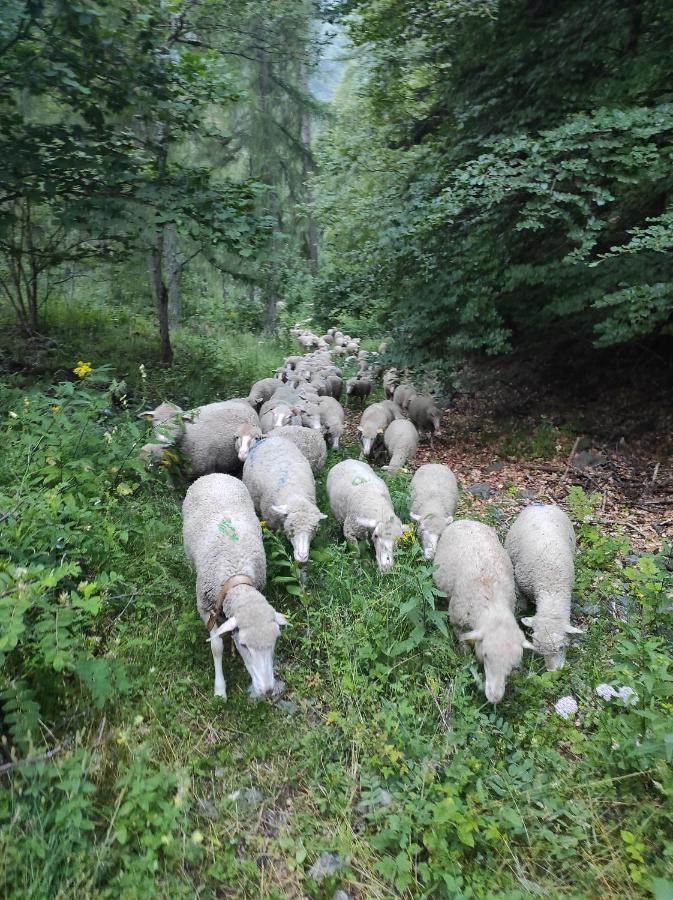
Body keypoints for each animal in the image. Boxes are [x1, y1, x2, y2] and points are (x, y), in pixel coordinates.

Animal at [181, 474, 288, 700]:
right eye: (245, 645)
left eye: (276, 640)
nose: (267, 691)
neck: (236, 579)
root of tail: (215, 475)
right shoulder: (205, 608)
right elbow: (216, 647)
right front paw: (220, 690)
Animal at [242, 436, 326, 564]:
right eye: (291, 527)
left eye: (314, 529)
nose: (302, 557)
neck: (295, 494)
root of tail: (269, 438)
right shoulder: (271, 522)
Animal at [434, 520, 532, 704]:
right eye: (486, 655)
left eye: (512, 665)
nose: (494, 697)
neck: (492, 605)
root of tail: (466, 520)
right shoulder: (457, 620)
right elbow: (463, 643)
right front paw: (465, 657)